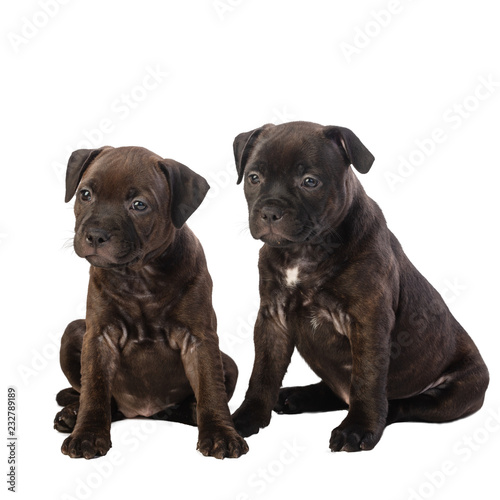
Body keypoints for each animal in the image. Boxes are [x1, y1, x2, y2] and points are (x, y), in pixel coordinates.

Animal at [54, 144, 248, 458]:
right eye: (85, 194)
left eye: (139, 205)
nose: (95, 235)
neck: (140, 277)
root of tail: (144, 412)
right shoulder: (98, 337)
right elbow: (94, 389)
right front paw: (87, 434)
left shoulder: (200, 339)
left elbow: (210, 388)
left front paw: (221, 434)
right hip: (74, 330)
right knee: (102, 400)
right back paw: (72, 414)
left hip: (228, 362)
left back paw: (192, 412)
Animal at [232, 122, 490, 454]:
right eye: (254, 178)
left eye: (310, 182)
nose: (270, 212)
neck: (304, 251)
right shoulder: (272, 319)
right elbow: (262, 373)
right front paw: (245, 418)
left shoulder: (368, 320)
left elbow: (367, 377)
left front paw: (357, 428)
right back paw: (295, 396)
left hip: (460, 389)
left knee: (404, 403)